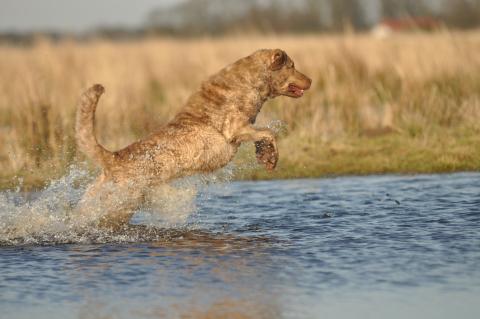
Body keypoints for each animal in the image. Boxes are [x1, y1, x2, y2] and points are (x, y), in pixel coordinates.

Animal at [75, 49, 312, 230]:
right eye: (292, 65)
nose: (311, 80)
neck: (250, 81)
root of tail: (112, 158)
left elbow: (264, 135)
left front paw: (265, 156)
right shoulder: (236, 130)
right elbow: (268, 132)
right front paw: (271, 158)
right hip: (122, 203)